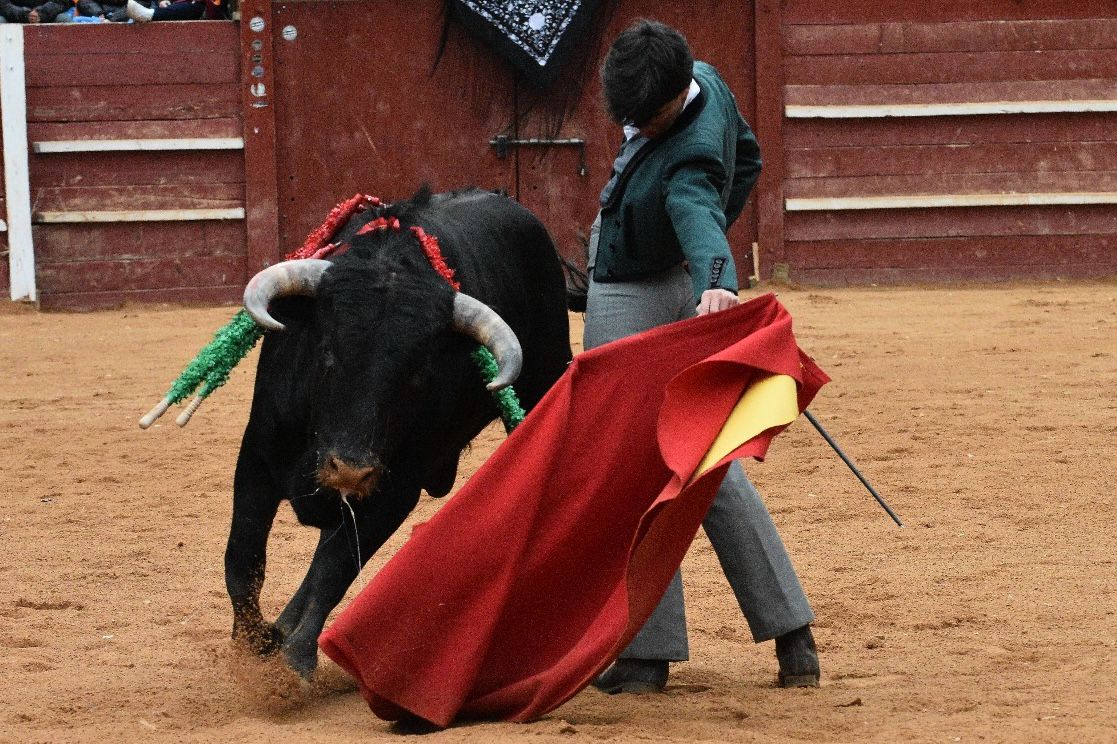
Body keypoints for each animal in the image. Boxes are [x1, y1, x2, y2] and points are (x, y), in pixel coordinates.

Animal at [228, 186, 576, 670]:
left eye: (417, 374)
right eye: (327, 353)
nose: (349, 470)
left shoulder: (395, 489)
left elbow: (335, 567)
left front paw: (296, 660)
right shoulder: (257, 458)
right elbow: (243, 559)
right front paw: (253, 643)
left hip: (545, 381)